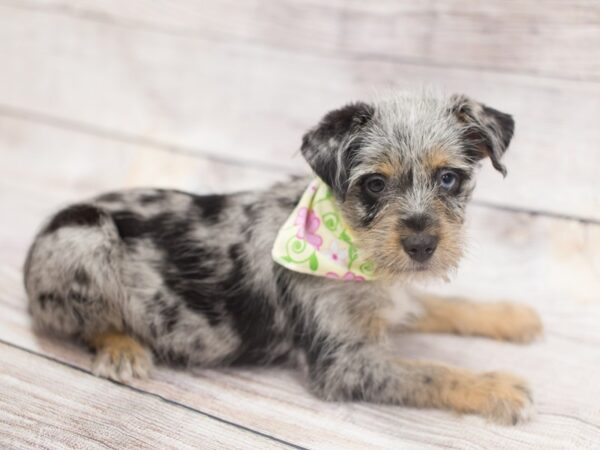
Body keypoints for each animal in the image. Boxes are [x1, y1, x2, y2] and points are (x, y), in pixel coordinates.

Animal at [23, 92, 544, 426]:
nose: (422, 246)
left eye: (449, 179)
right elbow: (429, 372)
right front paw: (497, 388)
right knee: (79, 320)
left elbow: (445, 305)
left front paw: (511, 316)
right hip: (83, 237)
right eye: (375, 184)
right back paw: (122, 349)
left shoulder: (396, 296)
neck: (354, 247)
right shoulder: (343, 364)